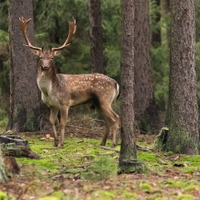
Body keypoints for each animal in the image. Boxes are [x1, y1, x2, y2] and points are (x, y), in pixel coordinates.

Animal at [18, 16, 119, 147]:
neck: (49, 91)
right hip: (97, 103)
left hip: (104, 99)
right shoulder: (52, 105)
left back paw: (113, 144)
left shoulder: (65, 103)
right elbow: (52, 121)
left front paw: (61, 143)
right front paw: (55, 142)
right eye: (40, 57)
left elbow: (62, 123)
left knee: (115, 118)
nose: (45, 66)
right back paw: (102, 143)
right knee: (108, 120)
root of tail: (116, 83)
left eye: (51, 58)